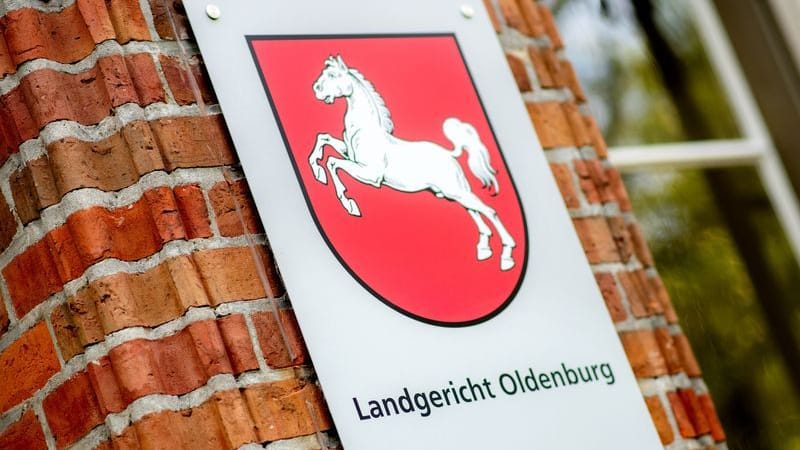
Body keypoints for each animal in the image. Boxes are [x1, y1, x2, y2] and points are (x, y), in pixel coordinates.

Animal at [310, 55, 516, 270]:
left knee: (489, 211)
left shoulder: (371, 174)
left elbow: (333, 163)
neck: (364, 129)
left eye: (333, 75)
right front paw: (318, 172)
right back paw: (484, 250)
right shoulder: (349, 155)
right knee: (475, 211)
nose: (316, 88)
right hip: (455, 193)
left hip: (455, 191)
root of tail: (450, 154)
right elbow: (323, 139)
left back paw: (507, 257)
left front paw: (349, 204)